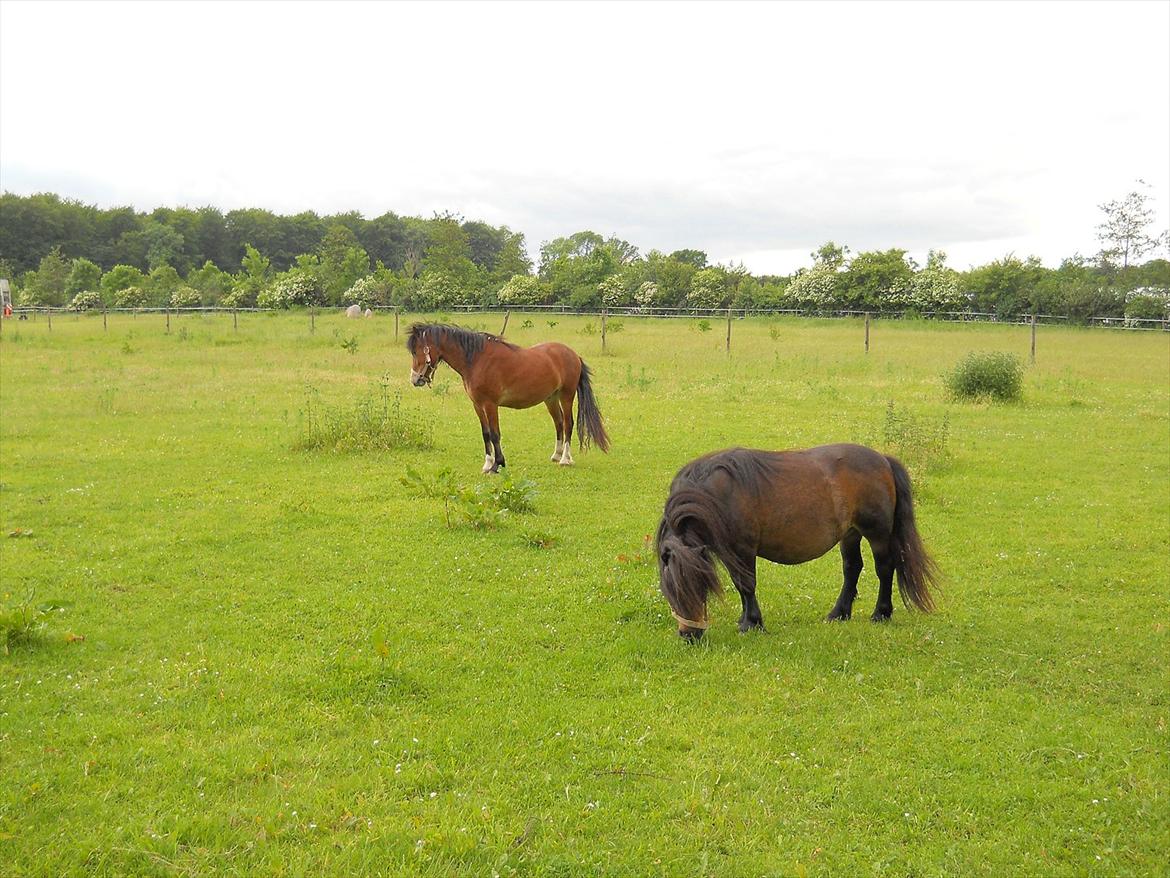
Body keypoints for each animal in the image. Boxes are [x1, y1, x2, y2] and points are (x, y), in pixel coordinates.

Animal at [409, 323, 613, 475]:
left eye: (417, 351)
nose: (415, 379)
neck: (477, 360)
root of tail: (573, 354)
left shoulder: (490, 405)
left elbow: (495, 434)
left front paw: (497, 465)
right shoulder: (477, 405)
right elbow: (485, 434)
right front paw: (487, 464)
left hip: (566, 396)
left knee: (568, 424)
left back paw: (565, 460)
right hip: (551, 399)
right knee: (559, 423)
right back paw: (556, 455)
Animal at [659, 447, 940, 641]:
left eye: (698, 587)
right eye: (669, 590)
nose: (688, 634)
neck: (719, 494)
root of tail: (883, 459)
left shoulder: (743, 549)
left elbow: (746, 585)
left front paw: (752, 624)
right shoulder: (729, 553)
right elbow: (741, 587)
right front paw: (745, 620)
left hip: (877, 534)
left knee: (884, 569)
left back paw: (881, 613)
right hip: (850, 534)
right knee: (852, 569)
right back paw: (839, 613)